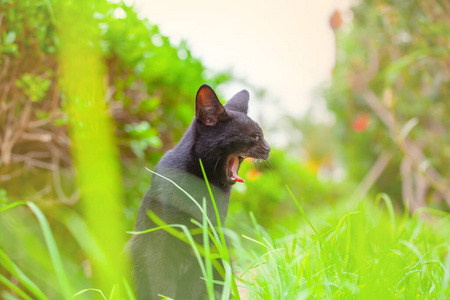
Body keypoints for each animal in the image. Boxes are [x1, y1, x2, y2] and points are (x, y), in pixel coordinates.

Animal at [130, 84, 270, 300]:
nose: (269, 148)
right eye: (255, 136)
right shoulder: (158, 247)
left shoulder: (206, 248)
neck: (202, 186)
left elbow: (192, 289)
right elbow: (162, 289)